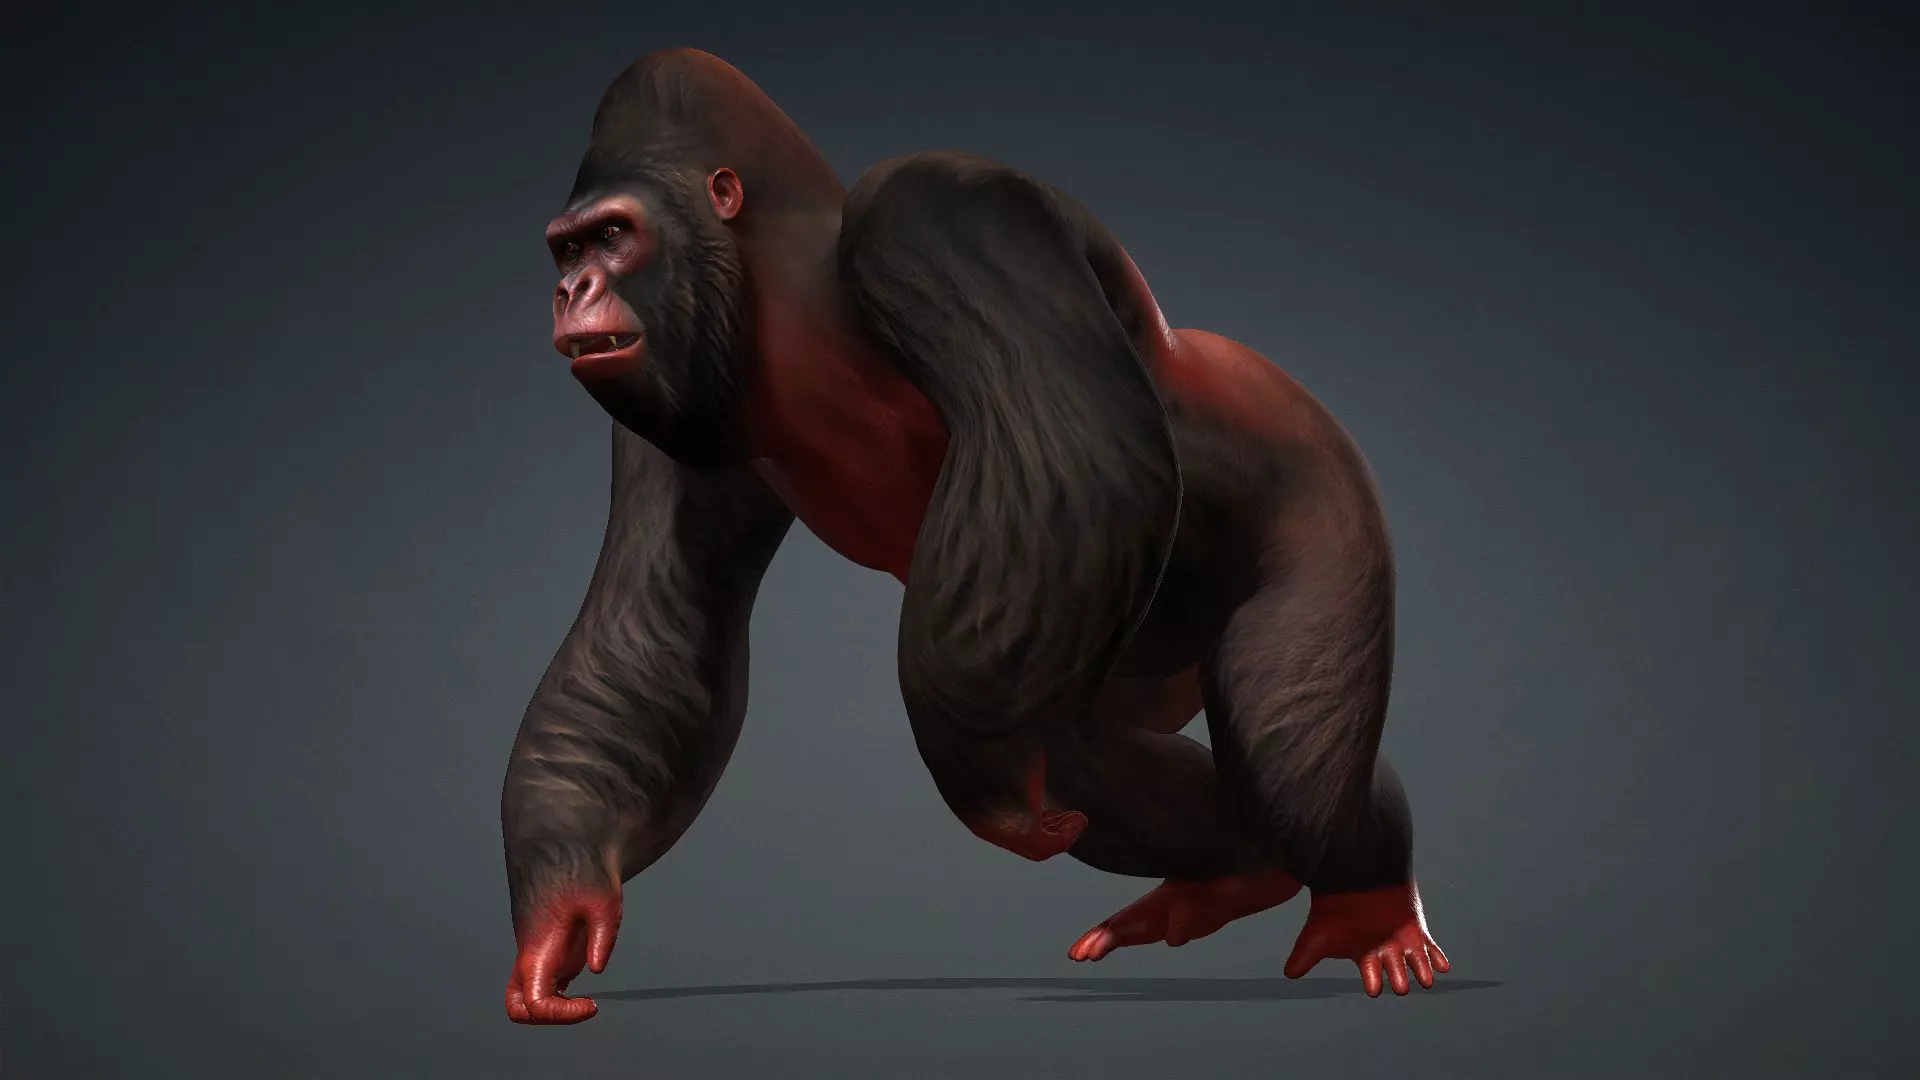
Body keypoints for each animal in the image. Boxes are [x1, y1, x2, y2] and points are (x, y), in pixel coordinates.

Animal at [500, 48, 1448, 1026]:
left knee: (1284, 750)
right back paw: (1234, 875)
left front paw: (981, 789)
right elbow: (654, 630)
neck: (785, 306)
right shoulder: (676, 412)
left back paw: (1368, 899)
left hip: (1320, 495)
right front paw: (564, 909)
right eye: (567, 247)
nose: (569, 289)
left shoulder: (940, 212)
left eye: (612, 237)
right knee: (1096, 762)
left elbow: (1080, 460)